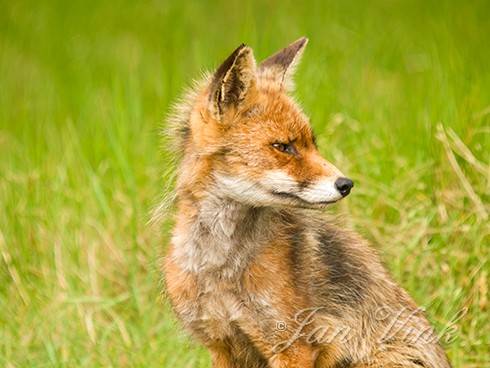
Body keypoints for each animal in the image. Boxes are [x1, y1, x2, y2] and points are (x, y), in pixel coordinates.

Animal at [162, 38, 452, 368]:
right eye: (283, 146)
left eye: (313, 143)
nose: (346, 184)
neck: (222, 268)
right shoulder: (222, 344)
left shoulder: (294, 344)